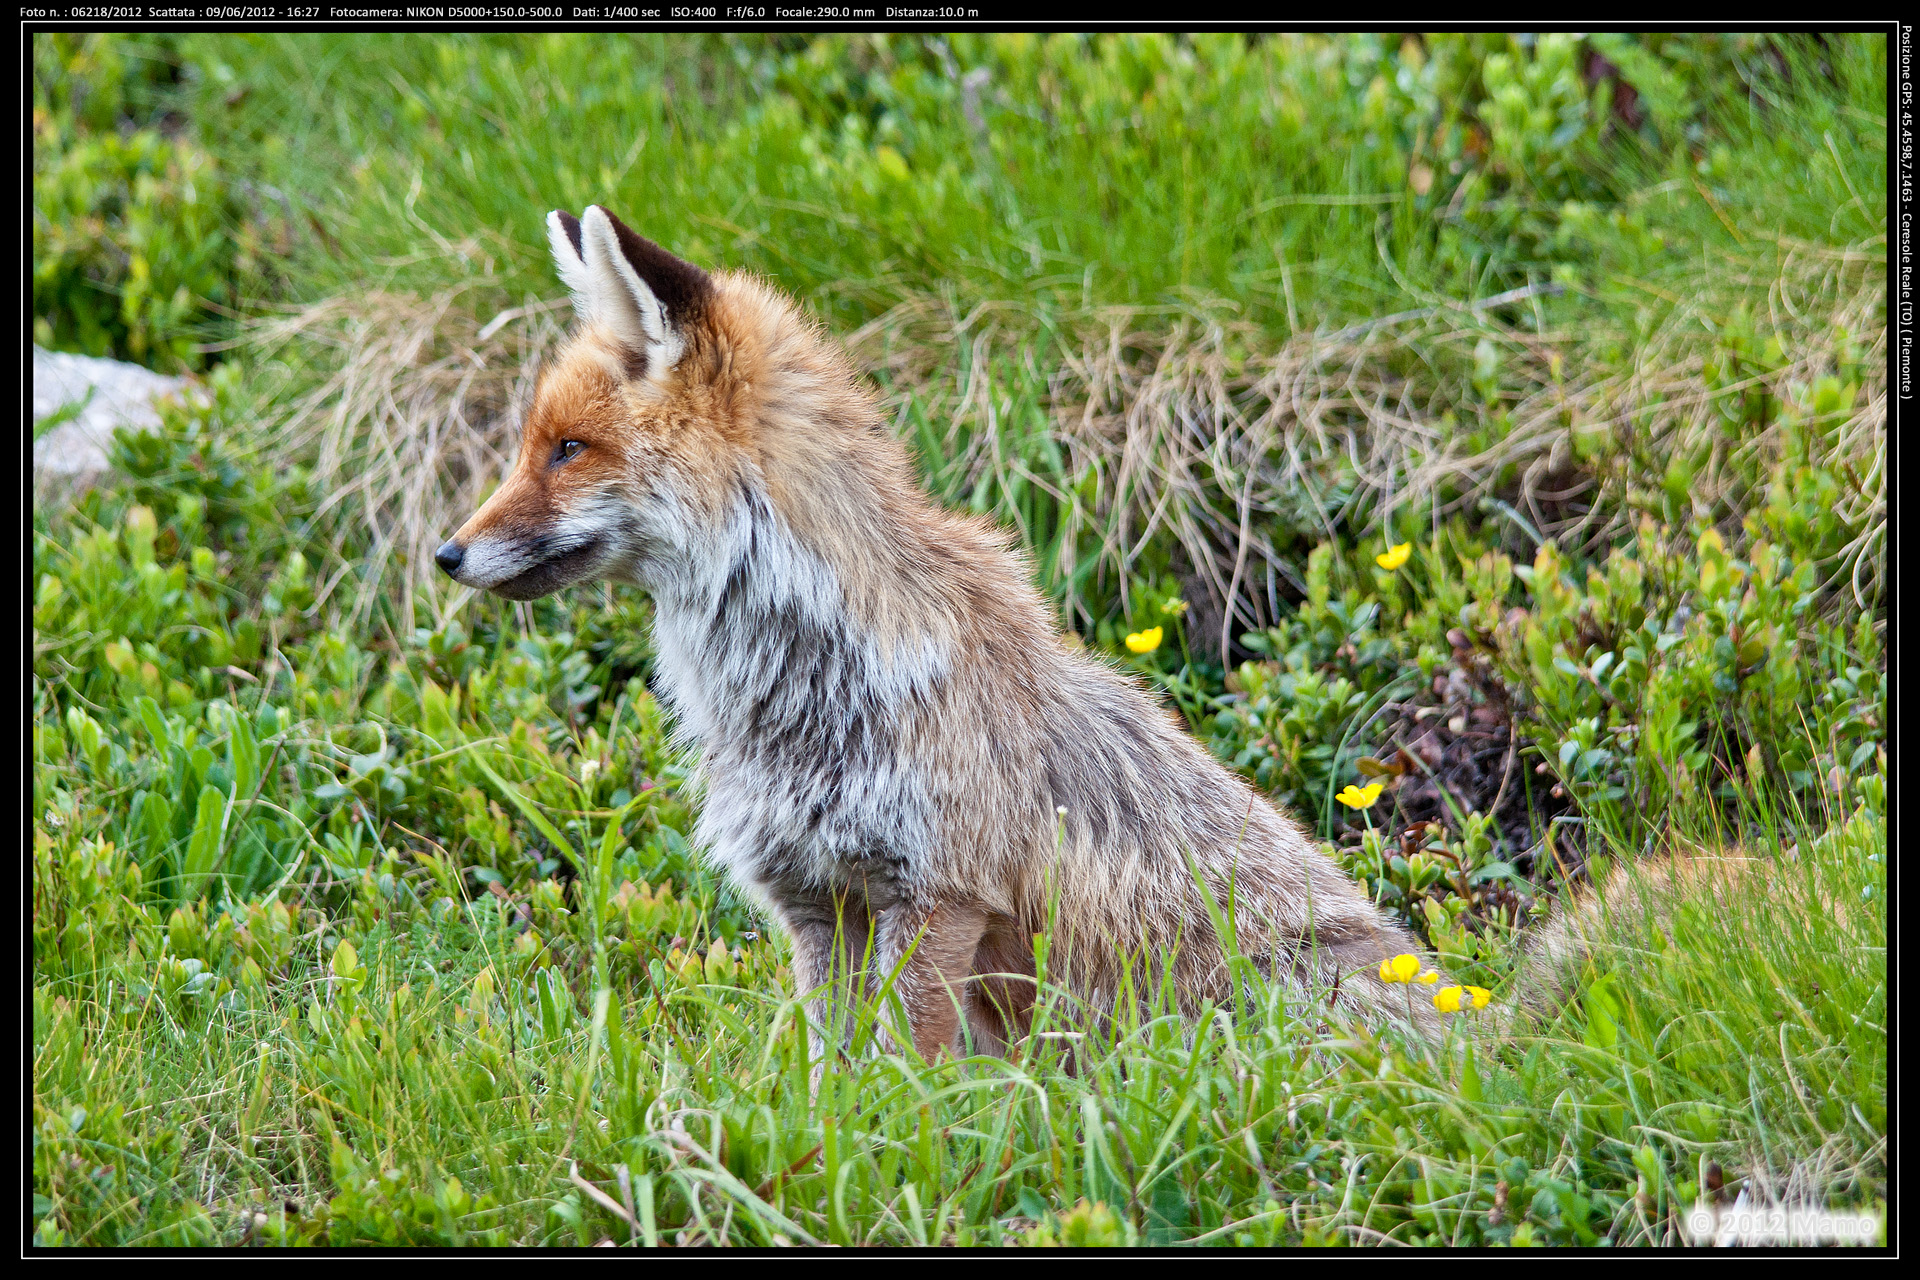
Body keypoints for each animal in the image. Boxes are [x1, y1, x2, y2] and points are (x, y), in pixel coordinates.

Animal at [435, 205, 1443, 1066]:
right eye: (530, 445)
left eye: (569, 450)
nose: (447, 554)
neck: (800, 693)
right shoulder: (815, 900)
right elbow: (829, 1073)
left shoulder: (937, 892)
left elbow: (902, 1066)